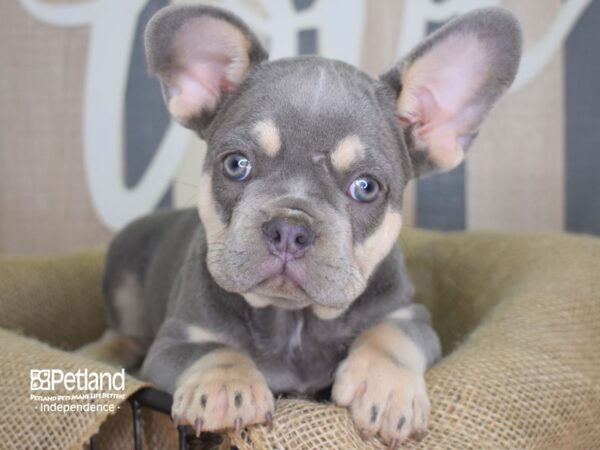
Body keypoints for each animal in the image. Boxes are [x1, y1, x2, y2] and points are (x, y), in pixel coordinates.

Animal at [82, 6, 524, 446]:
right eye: (235, 164)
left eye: (366, 187)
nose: (290, 229)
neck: (292, 319)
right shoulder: (174, 341)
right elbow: (212, 352)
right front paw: (226, 385)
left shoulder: (410, 313)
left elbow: (392, 334)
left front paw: (385, 387)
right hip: (124, 277)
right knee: (122, 335)